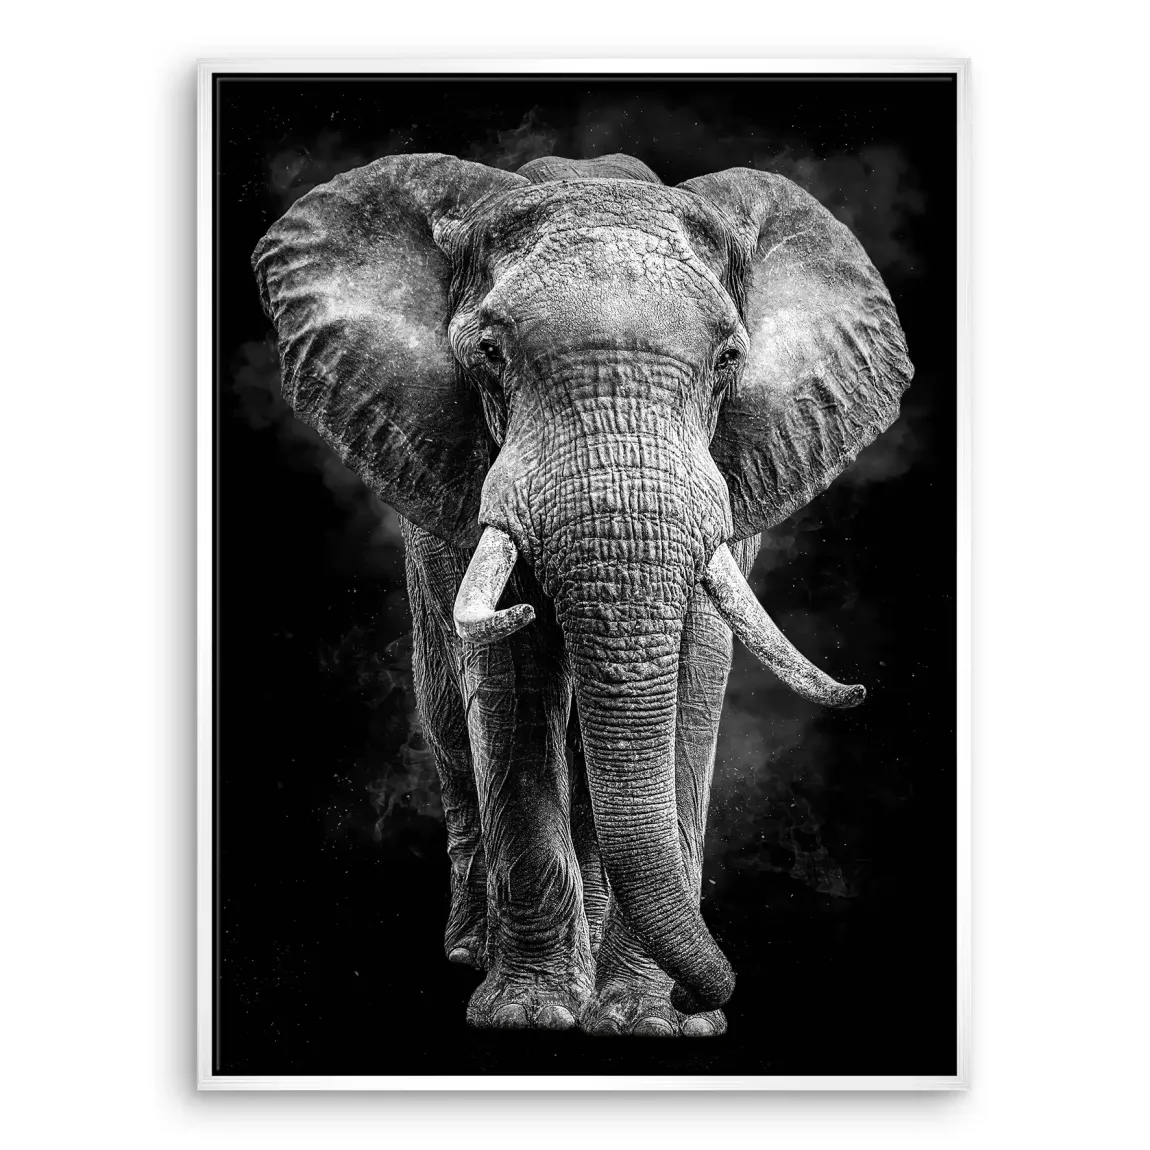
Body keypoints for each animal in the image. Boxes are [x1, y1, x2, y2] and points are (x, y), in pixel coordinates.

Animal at [251, 150, 913, 1037]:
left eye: (729, 360)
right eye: (489, 353)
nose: (702, 995)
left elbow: (693, 677)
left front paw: (654, 1022)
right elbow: (511, 688)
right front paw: (528, 1015)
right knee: (450, 718)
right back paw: (475, 952)